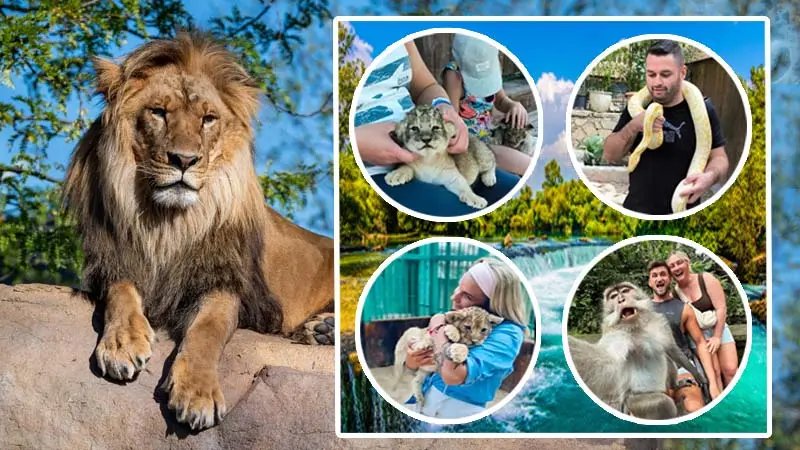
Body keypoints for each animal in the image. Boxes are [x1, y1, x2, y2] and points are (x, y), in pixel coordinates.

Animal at [62, 31, 334, 431]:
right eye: (158, 112)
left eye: (208, 119)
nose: (185, 160)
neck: (168, 224)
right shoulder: (114, 262)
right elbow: (121, 294)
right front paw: (122, 343)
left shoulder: (225, 284)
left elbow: (208, 329)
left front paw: (197, 393)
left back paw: (323, 329)